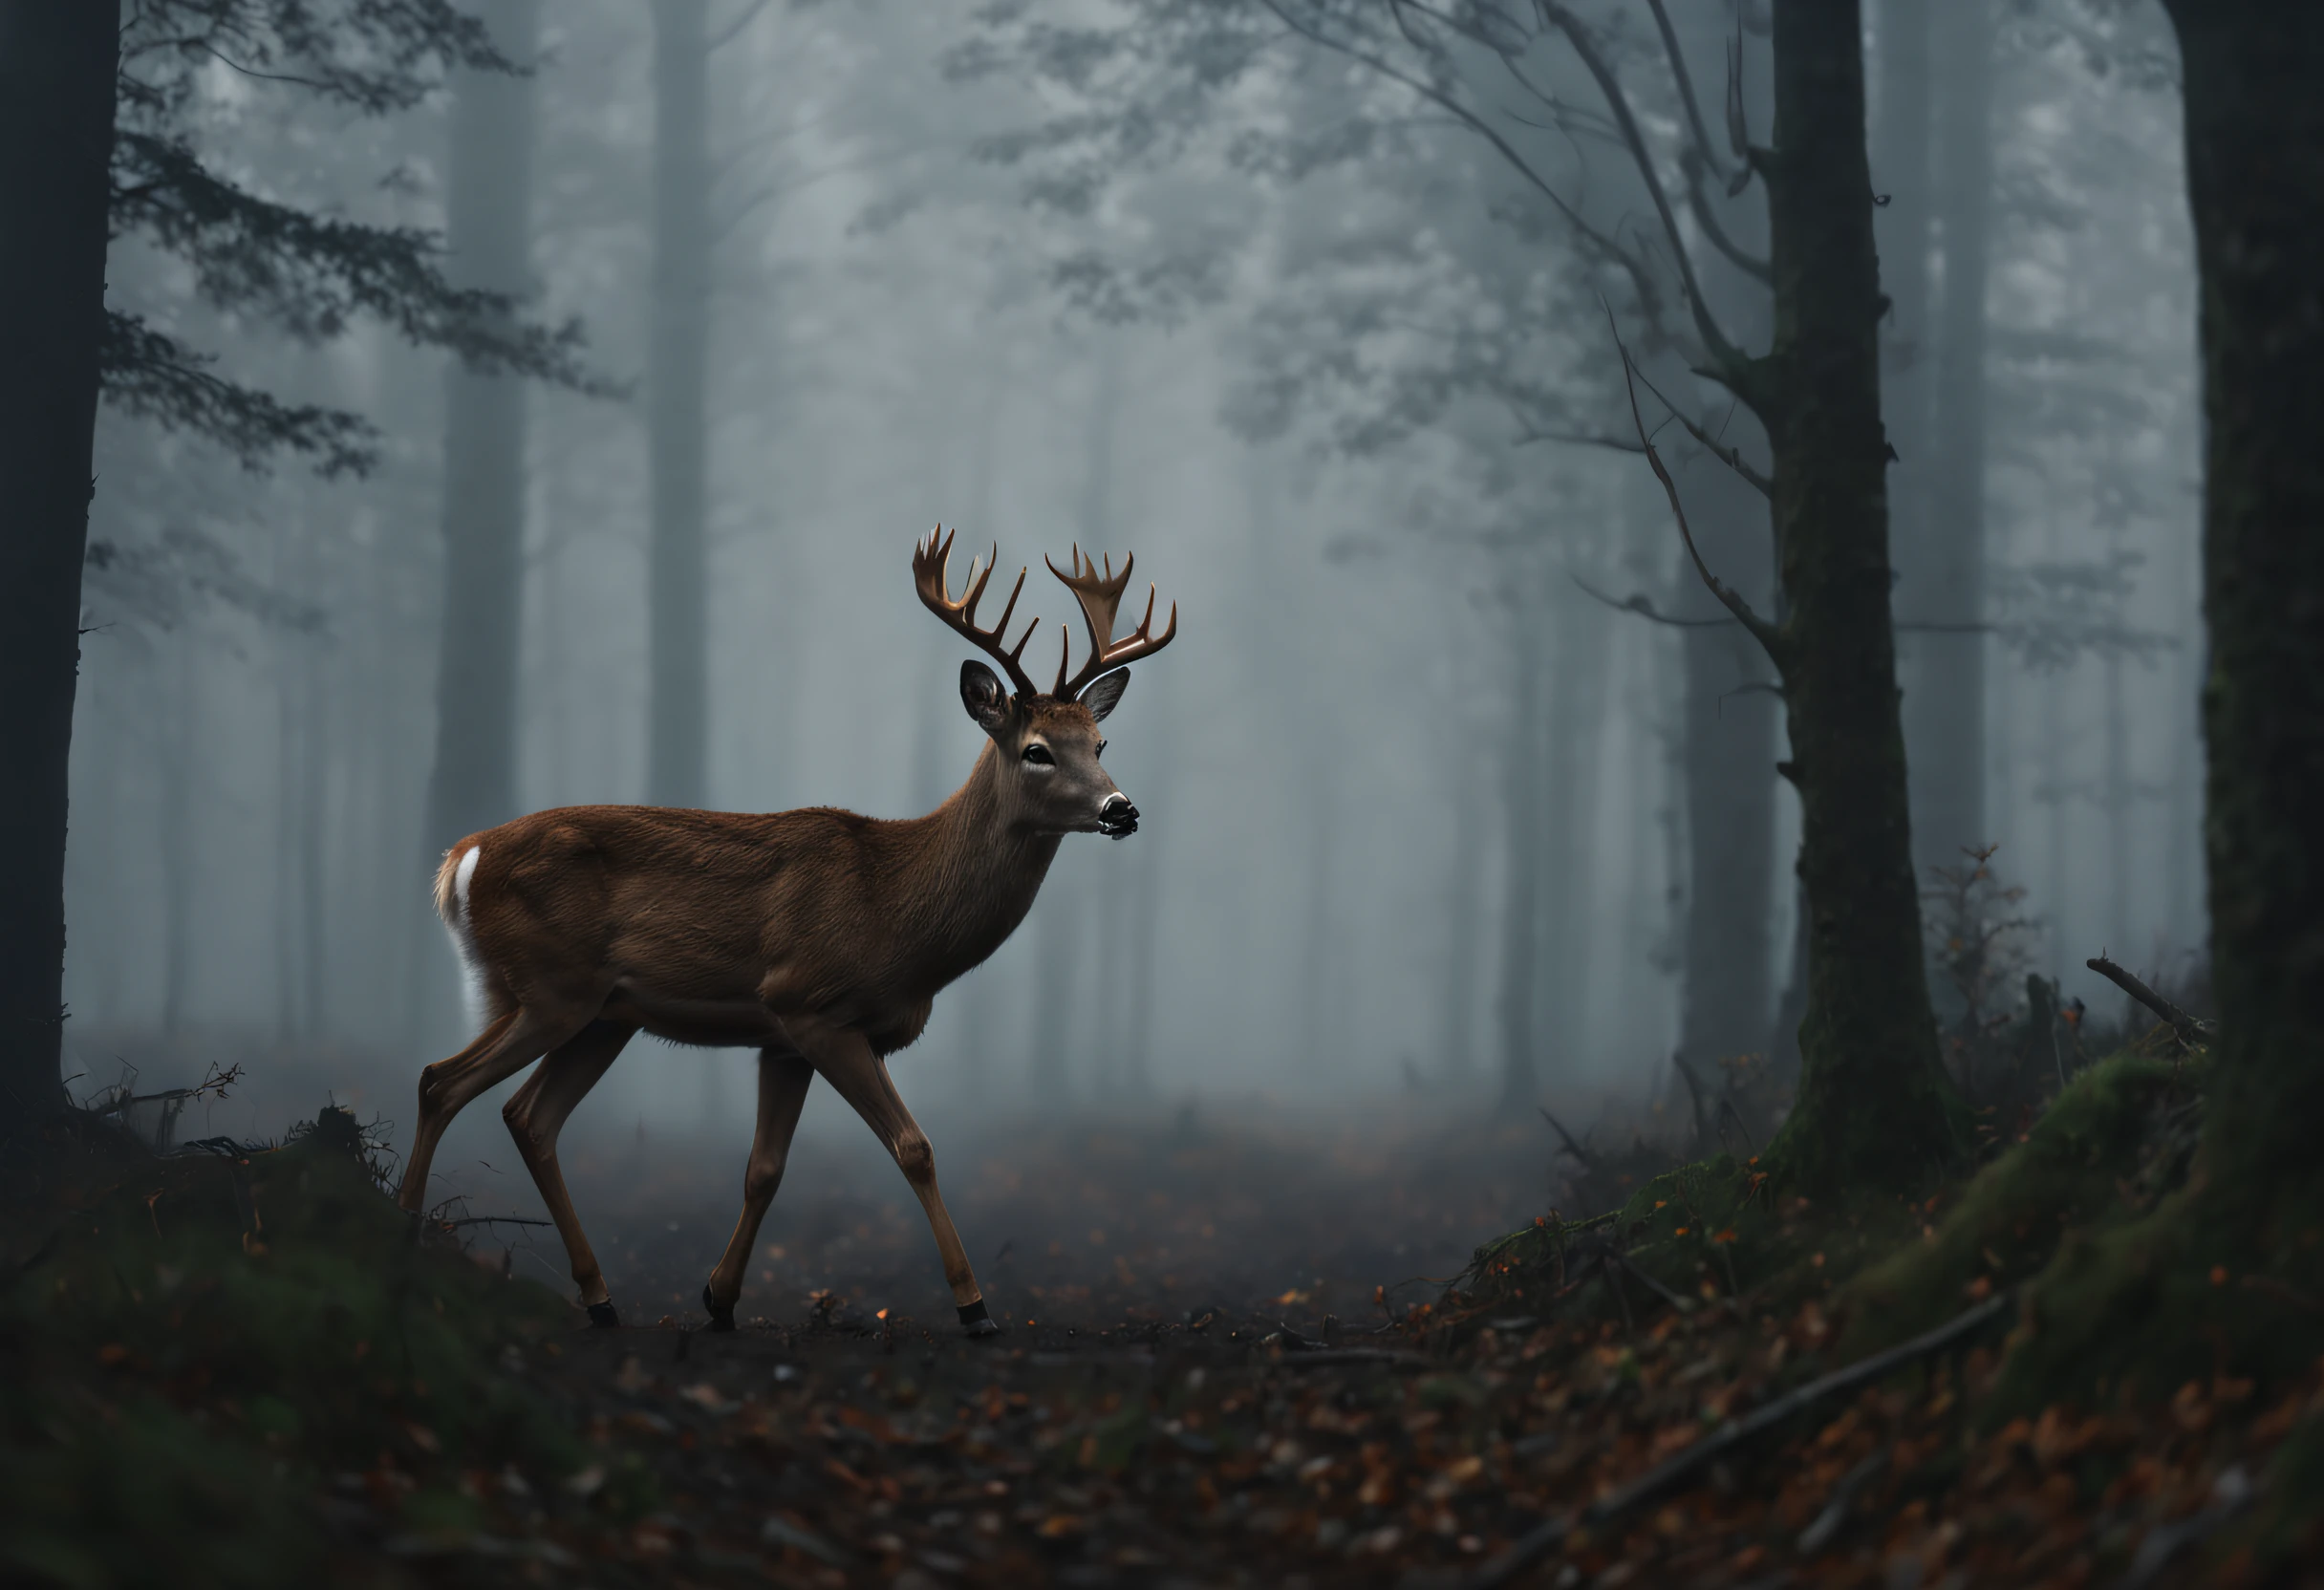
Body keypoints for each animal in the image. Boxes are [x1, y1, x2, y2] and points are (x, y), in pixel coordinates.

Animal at [393, 529, 1180, 1329]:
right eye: (1036, 750)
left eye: (1101, 744)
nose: (1121, 809)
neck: (896, 914)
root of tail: (463, 859)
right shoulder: (811, 1003)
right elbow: (914, 1146)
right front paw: (975, 1307)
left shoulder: (782, 1042)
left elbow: (764, 1170)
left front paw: (719, 1298)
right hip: (553, 986)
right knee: (441, 1081)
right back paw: (407, 1231)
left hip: (603, 1014)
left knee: (529, 1116)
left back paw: (600, 1297)